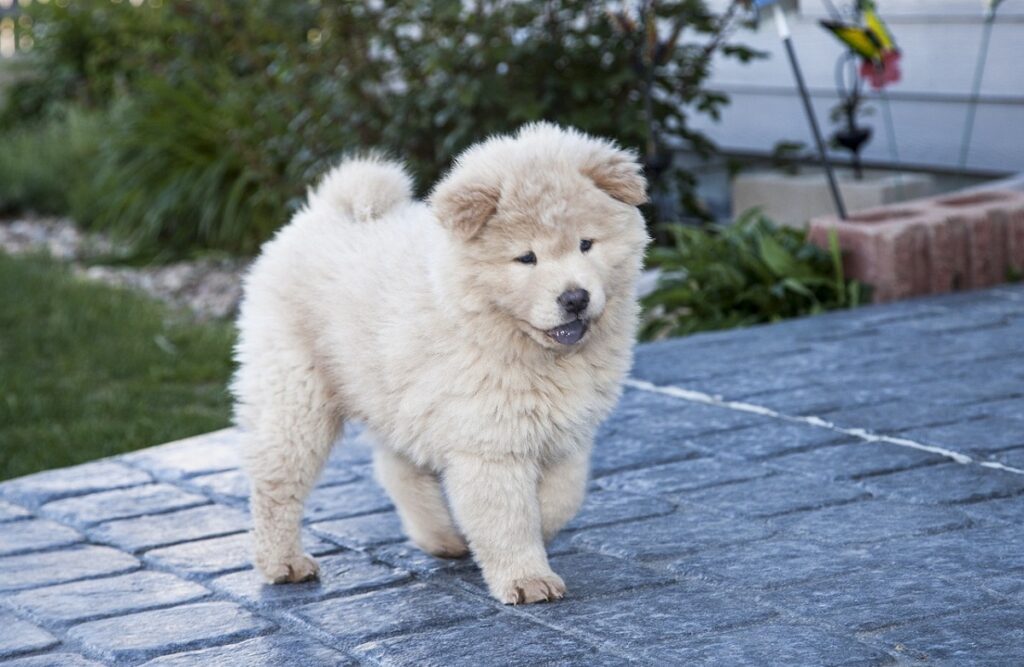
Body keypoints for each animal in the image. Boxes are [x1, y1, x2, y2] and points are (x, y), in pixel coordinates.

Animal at [232, 121, 647, 606]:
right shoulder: (489, 441)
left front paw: (538, 534)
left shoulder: (568, 432)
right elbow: (508, 515)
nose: (575, 298)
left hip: (392, 393)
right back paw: (283, 563)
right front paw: (527, 578)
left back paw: (442, 536)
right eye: (526, 258)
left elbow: (562, 499)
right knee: (276, 481)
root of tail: (326, 209)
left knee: (396, 468)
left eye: (586, 244)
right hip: (296, 394)